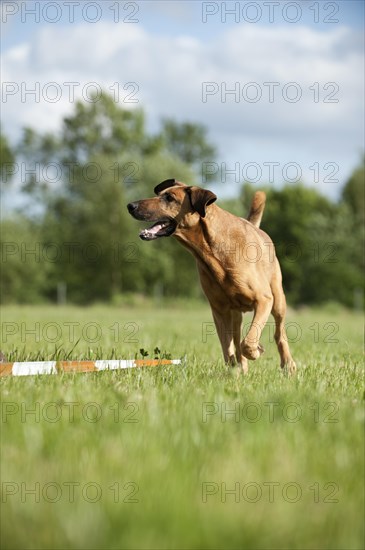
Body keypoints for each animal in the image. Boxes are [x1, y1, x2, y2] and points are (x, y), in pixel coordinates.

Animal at [128, 180, 296, 376]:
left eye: (169, 198)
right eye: (160, 194)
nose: (130, 205)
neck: (210, 250)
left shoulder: (263, 299)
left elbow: (248, 342)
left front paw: (256, 350)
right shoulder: (219, 310)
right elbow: (228, 349)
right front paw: (234, 372)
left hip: (278, 300)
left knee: (279, 333)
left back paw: (288, 364)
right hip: (236, 314)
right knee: (237, 340)